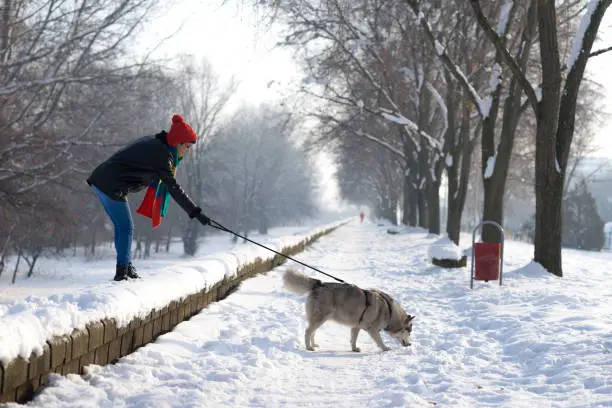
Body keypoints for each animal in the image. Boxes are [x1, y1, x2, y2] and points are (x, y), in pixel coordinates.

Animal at [284, 270, 414, 352]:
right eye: (409, 333)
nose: (410, 344)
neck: (389, 311)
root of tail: (319, 284)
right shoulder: (372, 329)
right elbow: (379, 341)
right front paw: (385, 348)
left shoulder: (355, 327)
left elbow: (353, 339)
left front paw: (354, 349)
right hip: (320, 318)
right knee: (308, 331)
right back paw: (309, 347)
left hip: (319, 320)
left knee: (313, 332)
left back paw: (313, 344)